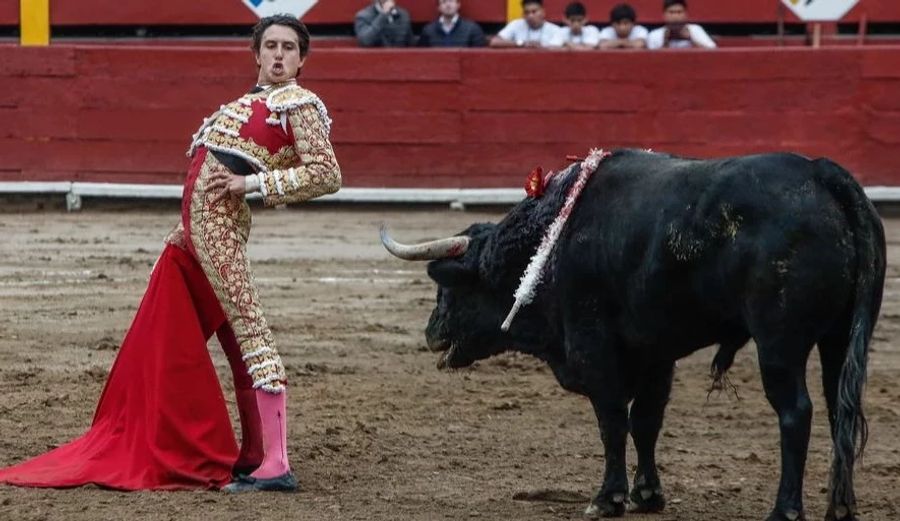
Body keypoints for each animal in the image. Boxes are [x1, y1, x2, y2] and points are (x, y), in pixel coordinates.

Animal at [380, 150, 884, 520]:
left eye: (449, 287)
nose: (431, 334)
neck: (551, 245)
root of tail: (821, 173)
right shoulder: (657, 352)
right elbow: (645, 420)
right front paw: (648, 494)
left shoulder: (594, 347)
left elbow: (612, 421)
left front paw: (608, 498)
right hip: (840, 338)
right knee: (840, 410)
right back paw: (842, 507)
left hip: (780, 344)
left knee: (796, 412)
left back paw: (785, 510)